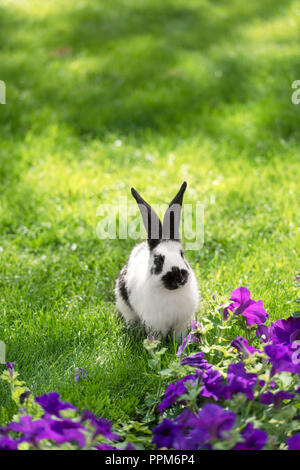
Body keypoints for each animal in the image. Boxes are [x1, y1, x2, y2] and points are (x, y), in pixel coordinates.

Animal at [115, 182, 199, 340]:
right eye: (159, 259)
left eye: (182, 254)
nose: (178, 277)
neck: (171, 293)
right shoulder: (155, 324)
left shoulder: (182, 323)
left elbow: (179, 336)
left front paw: (180, 343)